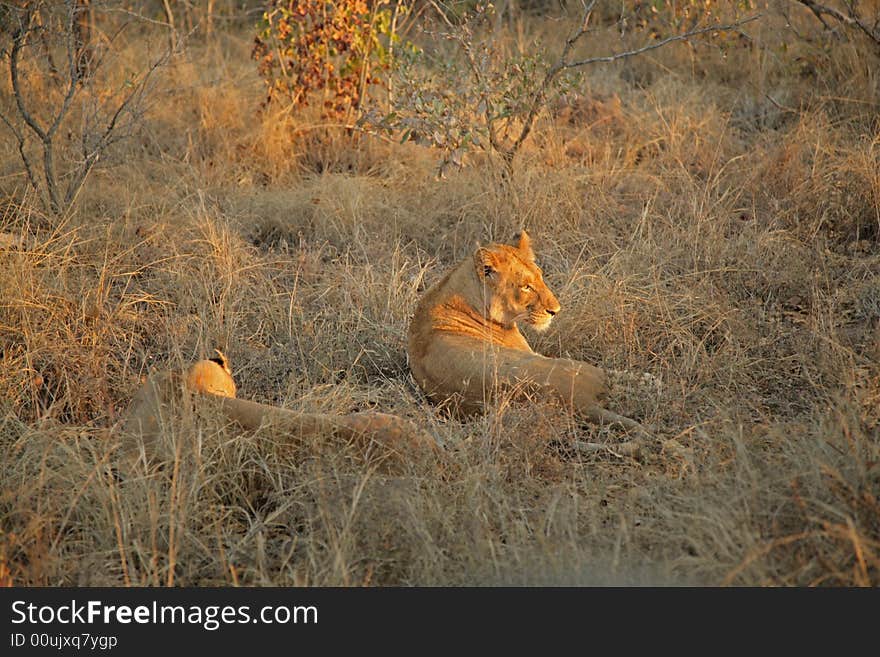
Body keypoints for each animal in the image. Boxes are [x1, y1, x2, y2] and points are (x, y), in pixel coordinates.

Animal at [408, 228, 648, 434]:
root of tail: (581, 403)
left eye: (540, 277)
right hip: (578, 367)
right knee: (615, 376)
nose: (555, 311)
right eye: (526, 287)